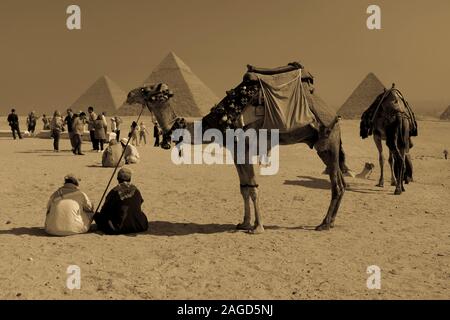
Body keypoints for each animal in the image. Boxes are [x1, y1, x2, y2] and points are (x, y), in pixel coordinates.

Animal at [125, 62, 348, 232]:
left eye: (147, 89)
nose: (129, 94)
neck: (220, 120)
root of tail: (331, 113)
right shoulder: (235, 152)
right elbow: (244, 188)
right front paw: (244, 223)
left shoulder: (245, 148)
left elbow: (253, 188)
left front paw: (258, 227)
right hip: (325, 145)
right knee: (340, 182)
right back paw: (329, 222)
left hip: (328, 141)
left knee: (336, 184)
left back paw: (324, 224)